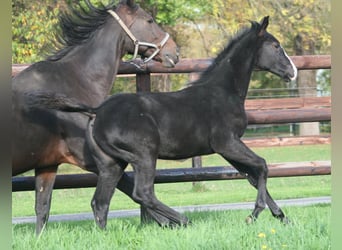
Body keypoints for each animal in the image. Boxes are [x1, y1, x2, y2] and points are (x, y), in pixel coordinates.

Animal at [13, 0, 178, 234]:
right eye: (149, 20)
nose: (174, 53)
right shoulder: (93, 159)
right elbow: (130, 189)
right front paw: (170, 221)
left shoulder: (47, 164)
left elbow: (42, 208)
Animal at [27, 17, 296, 229]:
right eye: (275, 46)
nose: (292, 72)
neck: (223, 91)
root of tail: (97, 111)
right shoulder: (227, 143)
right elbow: (262, 166)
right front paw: (255, 213)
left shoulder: (227, 148)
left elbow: (253, 175)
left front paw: (281, 216)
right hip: (145, 155)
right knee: (142, 193)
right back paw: (183, 220)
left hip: (111, 163)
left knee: (100, 202)